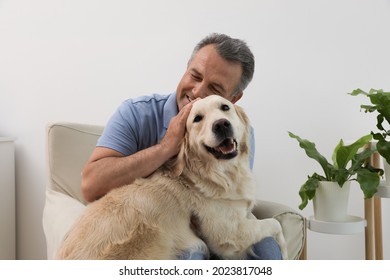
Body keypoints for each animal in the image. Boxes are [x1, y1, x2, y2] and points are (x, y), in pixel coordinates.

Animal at [57, 95, 286, 260]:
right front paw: (284, 248)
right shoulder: (228, 235)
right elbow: (274, 224)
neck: (221, 173)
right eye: (197, 118)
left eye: (225, 107)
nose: (221, 125)